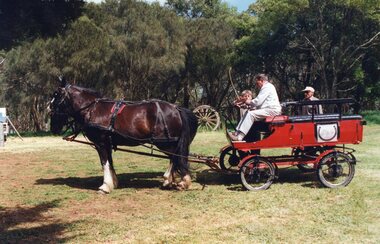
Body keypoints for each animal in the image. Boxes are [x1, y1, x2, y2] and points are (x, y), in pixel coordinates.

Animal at [49, 77, 199, 193]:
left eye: (56, 95)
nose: (49, 111)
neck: (92, 109)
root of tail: (176, 108)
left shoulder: (100, 143)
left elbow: (104, 163)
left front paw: (105, 186)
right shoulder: (107, 143)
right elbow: (110, 163)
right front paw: (113, 183)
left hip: (165, 143)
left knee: (176, 157)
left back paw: (179, 181)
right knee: (175, 158)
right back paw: (169, 180)